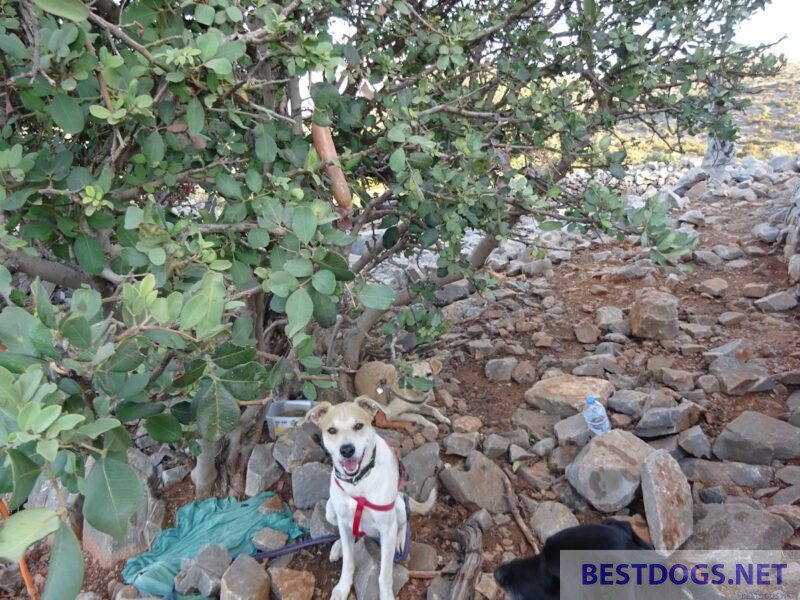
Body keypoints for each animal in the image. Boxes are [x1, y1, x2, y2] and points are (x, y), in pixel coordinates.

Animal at [302, 396, 438, 596]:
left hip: (398, 506)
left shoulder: (387, 529)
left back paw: (400, 539)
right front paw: (342, 588)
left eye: (358, 426)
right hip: (330, 510)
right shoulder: (343, 520)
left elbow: (385, 575)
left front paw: (387, 595)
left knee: (404, 521)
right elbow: (348, 562)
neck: (358, 482)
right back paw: (338, 545)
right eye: (332, 430)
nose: (347, 450)